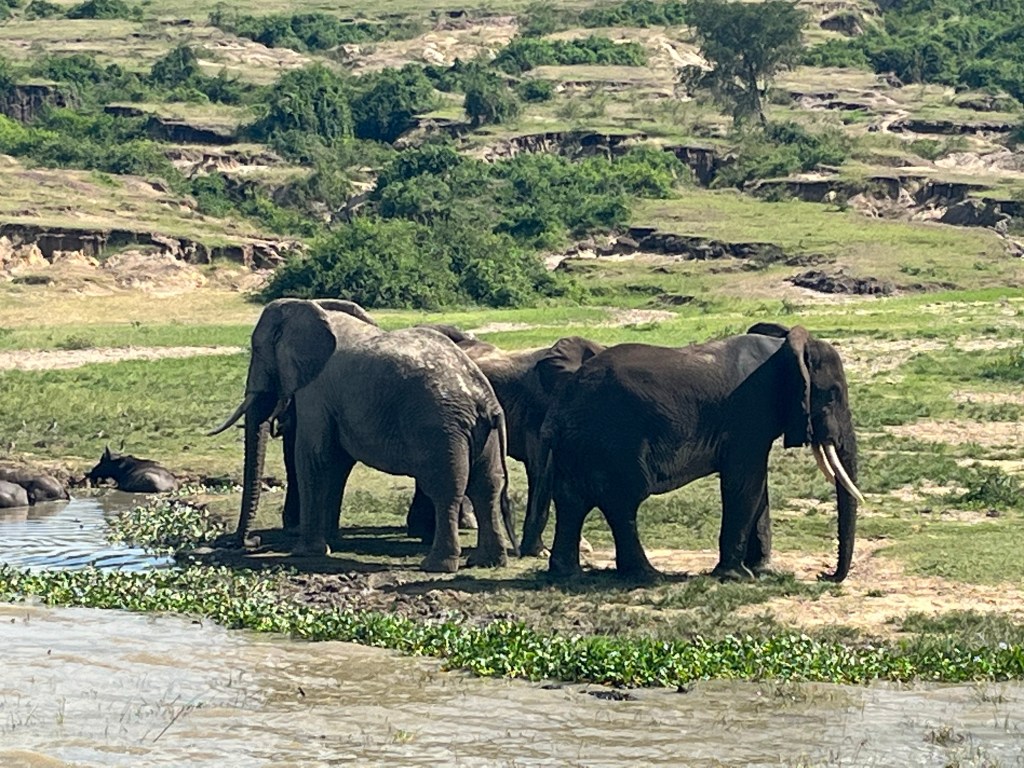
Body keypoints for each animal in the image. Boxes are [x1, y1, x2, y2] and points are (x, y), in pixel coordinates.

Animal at [210, 298, 516, 573]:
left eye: (256, 349)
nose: (249, 542)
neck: (309, 307)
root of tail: (484, 399)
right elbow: (335, 462)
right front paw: (328, 543)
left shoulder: (316, 389)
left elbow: (313, 456)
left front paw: (305, 551)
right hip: (481, 434)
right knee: (487, 486)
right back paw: (486, 562)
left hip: (440, 429)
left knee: (446, 489)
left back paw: (436, 566)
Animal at [532, 322, 862, 583]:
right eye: (832, 394)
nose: (823, 575)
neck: (783, 349)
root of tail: (560, 404)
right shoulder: (749, 413)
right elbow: (745, 483)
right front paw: (738, 576)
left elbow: (756, 487)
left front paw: (762, 571)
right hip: (612, 439)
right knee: (621, 502)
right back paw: (648, 575)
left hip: (581, 444)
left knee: (572, 501)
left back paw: (568, 574)